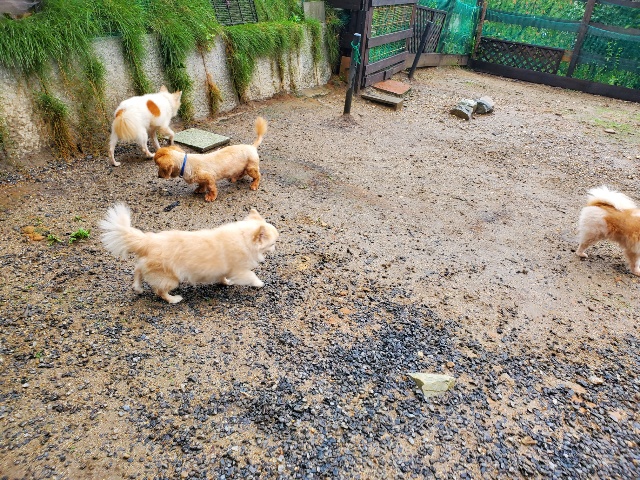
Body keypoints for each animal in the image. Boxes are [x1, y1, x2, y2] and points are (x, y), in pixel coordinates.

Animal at [100, 204, 279, 303]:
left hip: (148, 267)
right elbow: (251, 276)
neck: (243, 237)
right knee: (160, 291)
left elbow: (222, 276)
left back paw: (137, 287)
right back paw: (173, 299)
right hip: (171, 279)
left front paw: (226, 282)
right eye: (273, 243)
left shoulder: (223, 270)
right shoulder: (241, 271)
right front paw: (259, 283)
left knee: (137, 269)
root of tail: (148, 241)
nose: (276, 248)